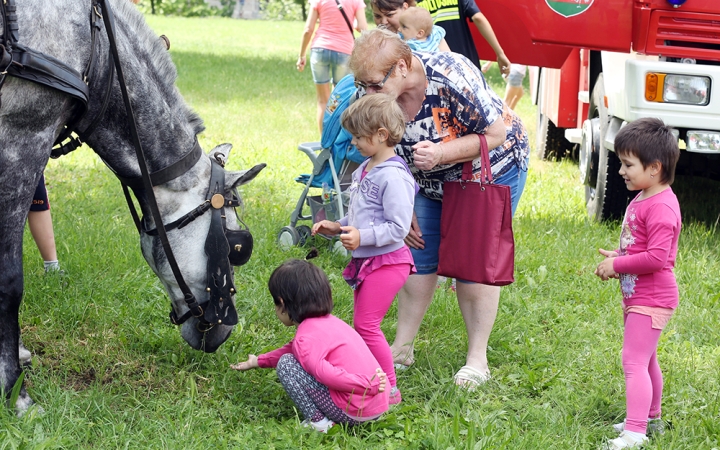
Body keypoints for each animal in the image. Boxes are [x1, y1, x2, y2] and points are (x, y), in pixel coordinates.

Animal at [0, 0, 264, 412]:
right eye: (239, 247)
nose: (224, 333)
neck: (96, 49)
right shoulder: (21, 136)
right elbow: (9, 278)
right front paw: (15, 391)